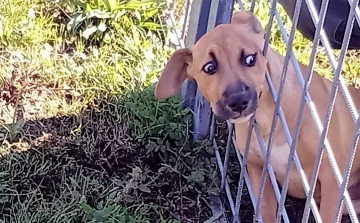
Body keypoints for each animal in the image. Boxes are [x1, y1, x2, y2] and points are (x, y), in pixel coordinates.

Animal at [155, 10, 360, 221]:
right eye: (209, 67)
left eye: (250, 59)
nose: (238, 101)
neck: (268, 117)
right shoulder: (258, 170)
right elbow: (266, 213)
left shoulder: (332, 177)